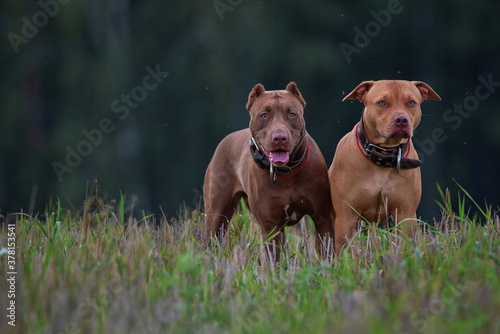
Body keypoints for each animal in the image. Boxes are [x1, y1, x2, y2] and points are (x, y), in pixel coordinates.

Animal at [203, 82, 336, 260]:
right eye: (264, 115)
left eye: (292, 114)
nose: (279, 137)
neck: (286, 173)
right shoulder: (270, 226)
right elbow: (272, 259)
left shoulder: (323, 219)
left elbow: (327, 254)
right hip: (216, 216)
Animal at [328, 79, 442, 254]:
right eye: (382, 102)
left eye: (411, 102)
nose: (401, 119)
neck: (384, 156)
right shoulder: (346, 216)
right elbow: (345, 250)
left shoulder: (405, 214)